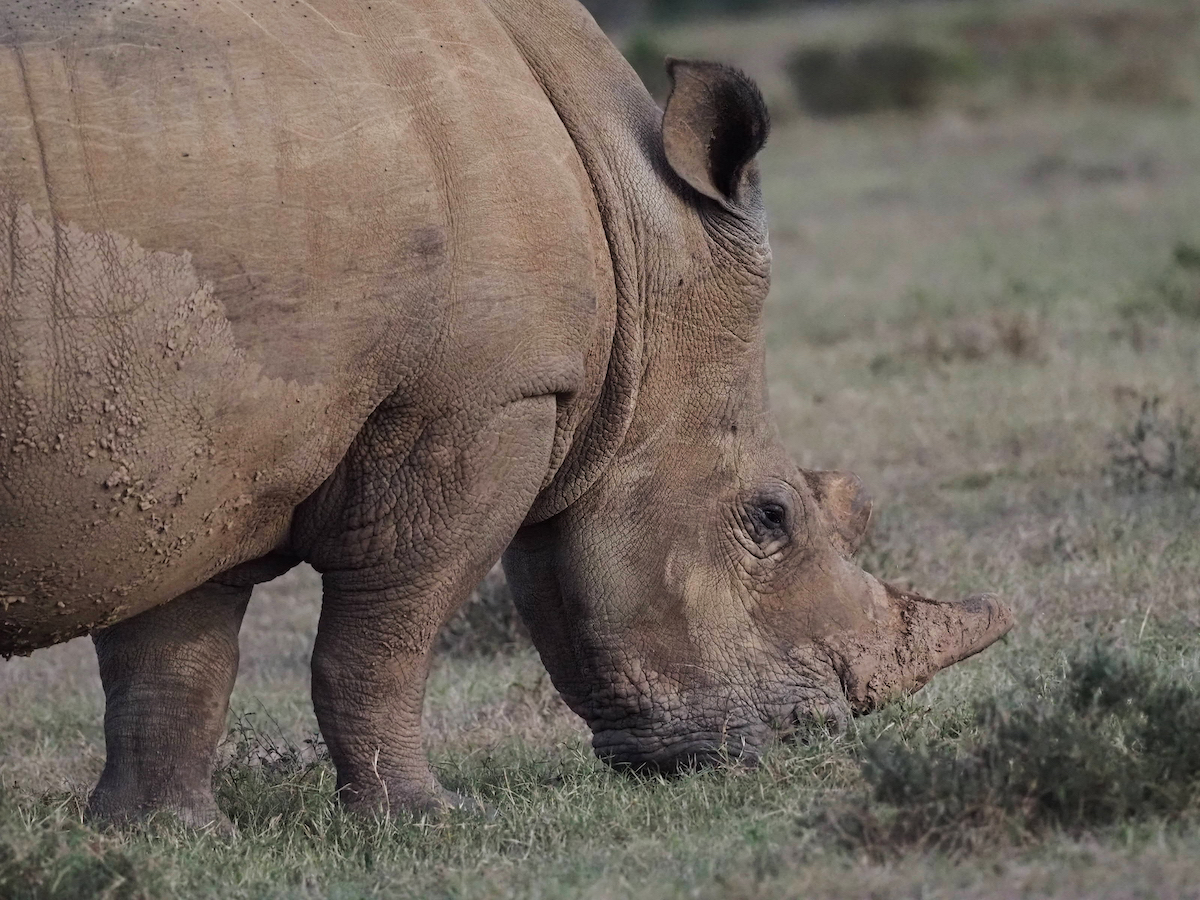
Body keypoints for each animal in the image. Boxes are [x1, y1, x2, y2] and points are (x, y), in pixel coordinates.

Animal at [0, 0, 1012, 830]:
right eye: (770, 519)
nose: (809, 737)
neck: (641, 243)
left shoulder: (205, 443)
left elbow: (175, 648)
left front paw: (157, 833)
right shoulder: (484, 402)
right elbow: (386, 636)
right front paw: (419, 821)